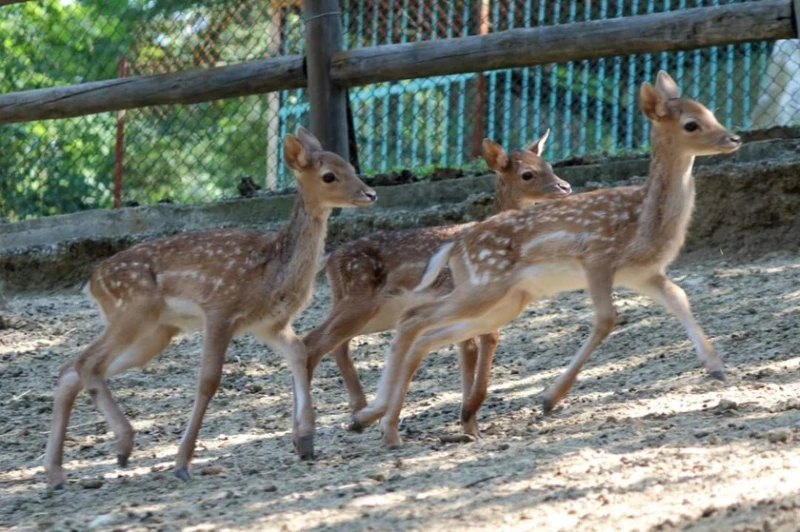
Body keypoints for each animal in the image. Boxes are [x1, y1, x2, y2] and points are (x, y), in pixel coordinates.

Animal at [45, 128, 376, 486]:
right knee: (85, 362)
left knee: (72, 368)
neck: (274, 271)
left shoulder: (269, 324)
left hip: (155, 332)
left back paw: (57, 473)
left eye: (350, 165)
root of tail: (92, 280)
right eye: (329, 175)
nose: (370, 193)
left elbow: (300, 353)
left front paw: (305, 441)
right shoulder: (220, 310)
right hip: (131, 309)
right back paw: (122, 444)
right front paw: (181, 463)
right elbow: (208, 381)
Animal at [304, 132, 572, 436]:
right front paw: (469, 422)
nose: (565, 186)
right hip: (358, 300)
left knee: (338, 343)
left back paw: (357, 413)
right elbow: (473, 350)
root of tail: (329, 259)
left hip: (375, 311)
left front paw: (470, 425)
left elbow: (479, 348)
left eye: (549, 165)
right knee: (314, 340)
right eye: (527, 174)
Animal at [350, 69, 744, 444]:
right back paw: (379, 423)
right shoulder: (597, 256)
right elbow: (606, 319)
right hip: (485, 285)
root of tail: (456, 243)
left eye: (710, 111)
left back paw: (378, 422)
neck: (643, 219)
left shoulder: (643, 273)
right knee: (415, 320)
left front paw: (715, 366)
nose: (734, 139)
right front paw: (550, 398)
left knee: (432, 331)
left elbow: (679, 297)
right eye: (691, 124)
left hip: (506, 301)